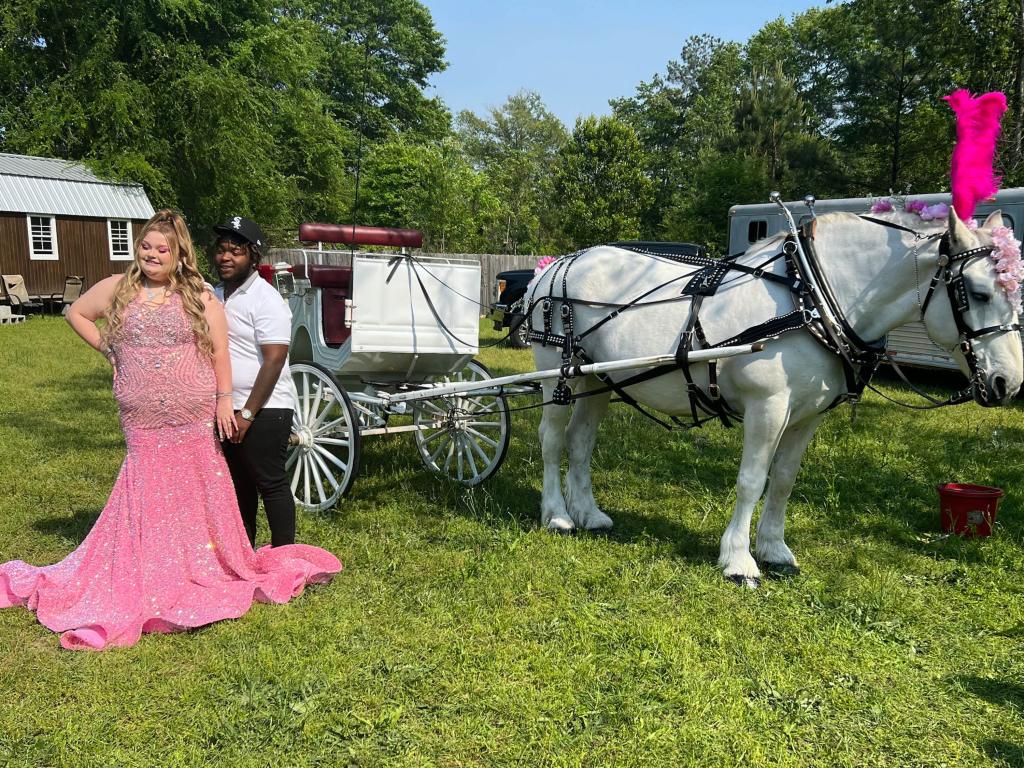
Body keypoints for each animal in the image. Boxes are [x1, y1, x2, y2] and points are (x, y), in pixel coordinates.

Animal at [532, 207, 1019, 585]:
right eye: (978, 293)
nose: (1009, 383)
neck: (811, 300)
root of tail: (555, 266)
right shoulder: (767, 407)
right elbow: (752, 480)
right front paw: (738, 560)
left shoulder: (807, 415)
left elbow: (783, 480)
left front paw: (774, 549)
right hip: (555, 375)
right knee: (552, 440)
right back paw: (557, 515)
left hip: (597, 380)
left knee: (581, 442)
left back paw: (589, 514)